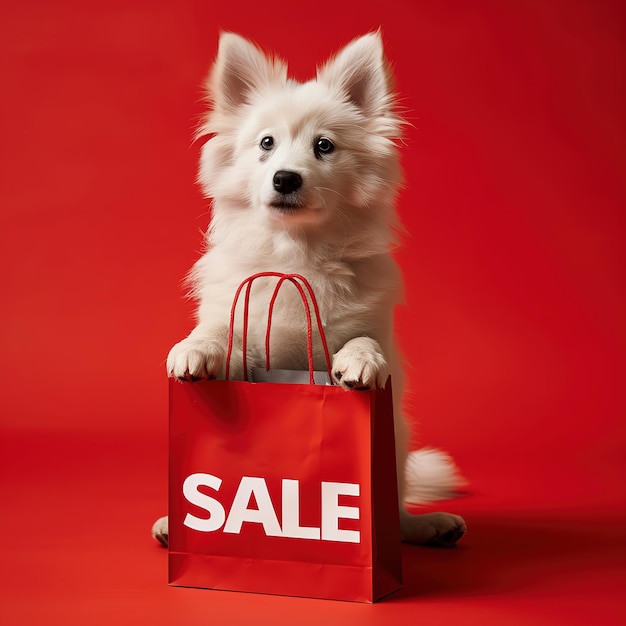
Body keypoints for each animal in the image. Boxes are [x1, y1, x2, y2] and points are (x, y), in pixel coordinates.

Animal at [152, 29, 464, 544]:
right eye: (266, 143)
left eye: (324, 146)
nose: (285, 178)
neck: (294, 256)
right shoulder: (244, 333)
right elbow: (218, 331)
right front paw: (195, 349)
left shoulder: (368, 323)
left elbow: (363, 338)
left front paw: (360, 361)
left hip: (396, 439)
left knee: (396, 512)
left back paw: (425, 526)